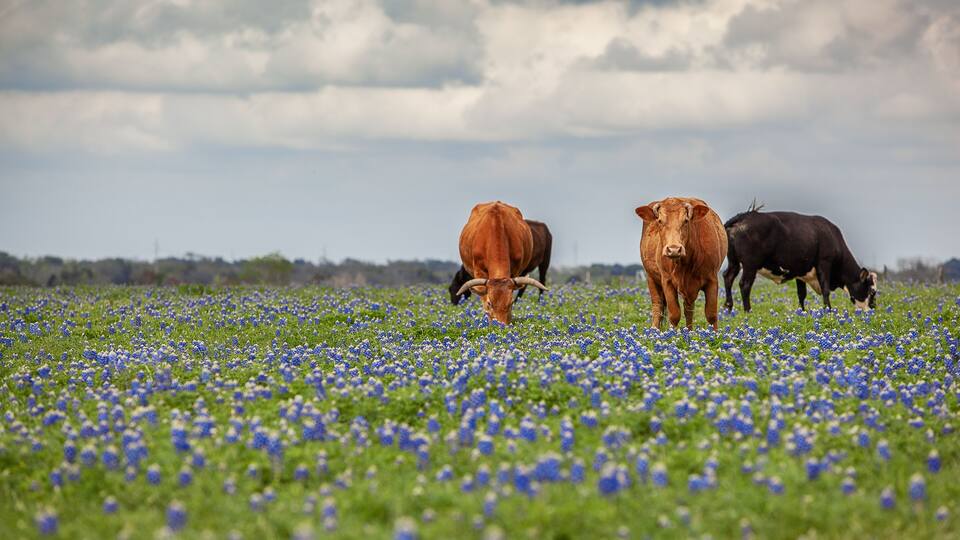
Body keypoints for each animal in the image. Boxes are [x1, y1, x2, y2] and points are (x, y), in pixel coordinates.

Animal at [635, 197, 728, 330]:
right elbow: (674, 315)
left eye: (686, 221)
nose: (674, 249)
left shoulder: (712, 279)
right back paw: (654, 330)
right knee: (658, 306)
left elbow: (711, 314)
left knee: (688, 309)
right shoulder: (667, 281)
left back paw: (689, 331)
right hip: (651, 278)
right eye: (659, 221)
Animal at [722, 206, 877, 312]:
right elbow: (825, 289)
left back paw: (729, 308)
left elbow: (801, 294)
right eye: (871, 291)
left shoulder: (800, 271)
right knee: (745, 285)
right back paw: (747, 311)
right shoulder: (824, 263)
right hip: (750, 264)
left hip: (734, 261)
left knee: (727, 277)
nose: (873, 309)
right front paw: (828, 310)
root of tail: (744, 216)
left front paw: (802, 311)